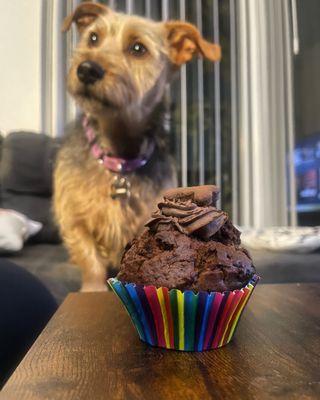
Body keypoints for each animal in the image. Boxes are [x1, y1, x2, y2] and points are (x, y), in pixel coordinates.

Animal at [53, 1, 221, 292]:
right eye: (93, 38)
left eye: (138, 48)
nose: (86, 69)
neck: (118, 157)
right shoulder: (75, 218)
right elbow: (90, 260)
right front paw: (93, 290)